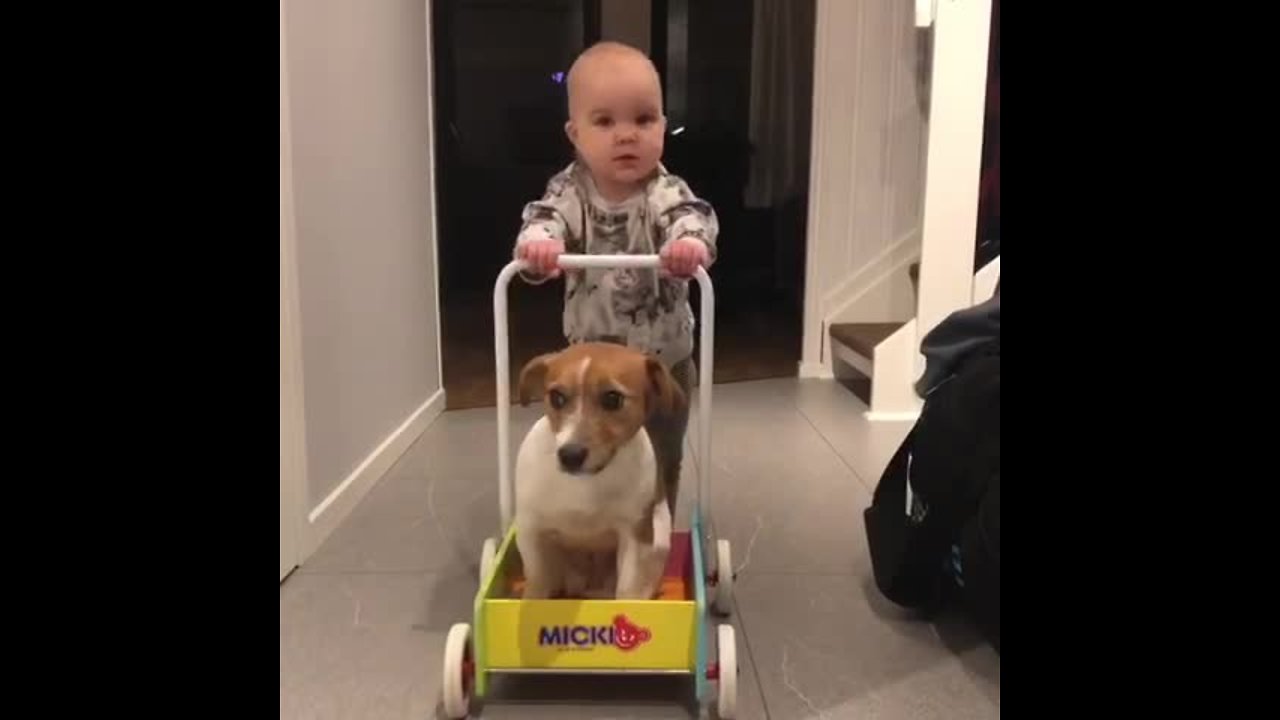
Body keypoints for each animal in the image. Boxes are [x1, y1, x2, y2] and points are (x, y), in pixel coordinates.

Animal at [512, 338, 686, 597]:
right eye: (556, 397)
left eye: (613, 399)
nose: (570, 455)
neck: (587, 483)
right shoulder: (531, 531)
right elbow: (537, 586)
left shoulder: (634, 537)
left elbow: (627, 592)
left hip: (659, 541)